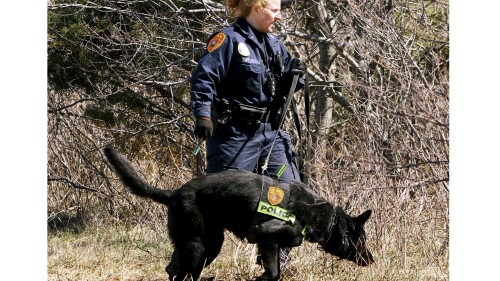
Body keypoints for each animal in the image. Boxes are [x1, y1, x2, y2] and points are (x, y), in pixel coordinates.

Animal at [103, 145, 374, 278]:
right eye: (361, 240)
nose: (372, 260)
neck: (324, 219)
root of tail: (174, 194)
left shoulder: (269, 245)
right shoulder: (267, 237)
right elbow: (273, 273)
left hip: (211, 244)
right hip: (197, 244)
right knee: (181, 274)